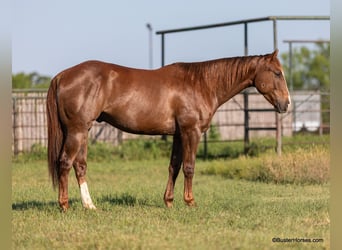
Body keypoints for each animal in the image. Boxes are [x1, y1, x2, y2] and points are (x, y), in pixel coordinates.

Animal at [46, 49, 290, 211]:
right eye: (277, 73)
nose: (286, 104)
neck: (201, 84)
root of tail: (62, 75)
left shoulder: (178, 135)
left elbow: (174, 167)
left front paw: (169, 201)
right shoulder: (191, 132)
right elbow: (190, 167)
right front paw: (190, 202)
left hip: (83, 131)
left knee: (79, 165)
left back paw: (89, 205)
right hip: (77, 131)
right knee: (65, 163)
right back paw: (64, 205)